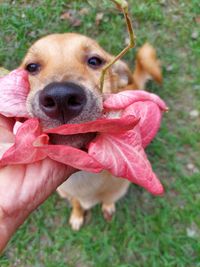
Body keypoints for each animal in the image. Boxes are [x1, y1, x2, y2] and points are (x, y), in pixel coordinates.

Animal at [21, 33, 162, 230]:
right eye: (31, 67)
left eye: (94, 61)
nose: (61, 97)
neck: (83, 177)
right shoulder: (68, 194)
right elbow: (76, 203)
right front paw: (77, 215)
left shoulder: (117, 189)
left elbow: (109, 199)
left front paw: (107, 207)